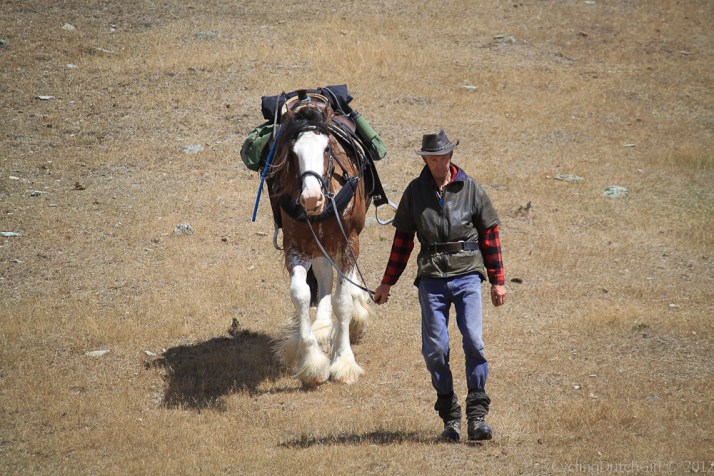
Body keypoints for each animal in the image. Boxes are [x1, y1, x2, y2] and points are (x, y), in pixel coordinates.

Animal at [266, 92, 371, 386]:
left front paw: (344, 361)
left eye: (326, 149)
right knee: (324, 274)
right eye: (293, 152)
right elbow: (301, 294)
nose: (311, 198)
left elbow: (342, 301)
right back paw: (323, 325)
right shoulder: (296, 248)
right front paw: (312, 362)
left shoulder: (348, 244)